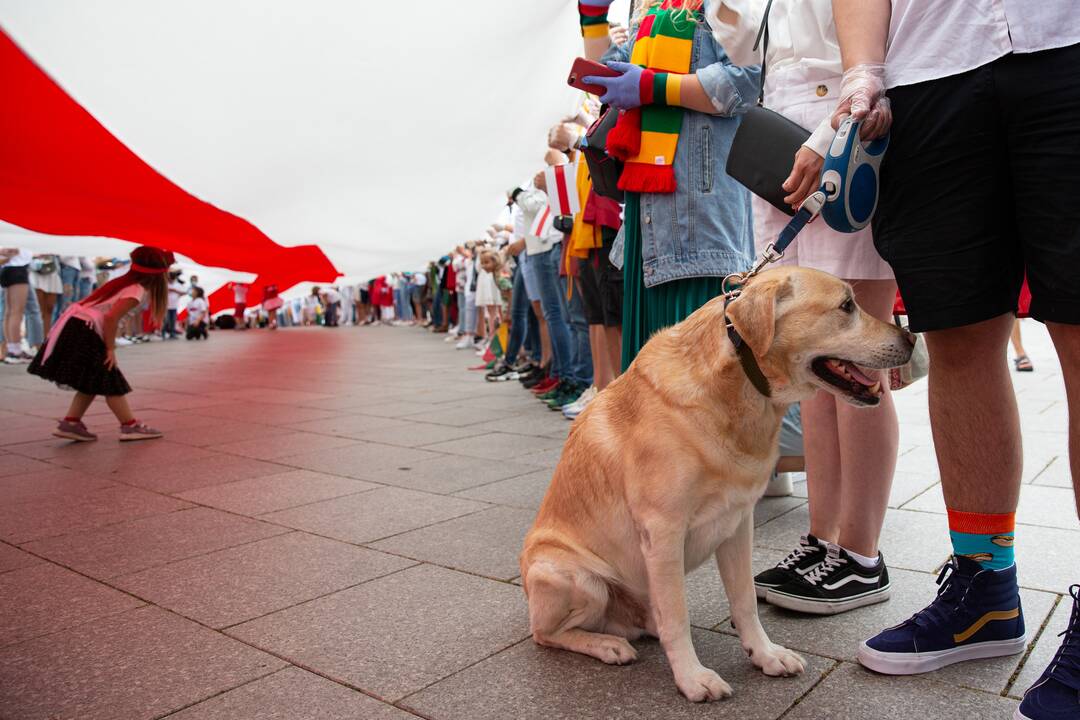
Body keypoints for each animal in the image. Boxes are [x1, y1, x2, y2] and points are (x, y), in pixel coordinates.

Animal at [518, 267, 915, 699]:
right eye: (846, 306)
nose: (912, 338)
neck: (740, 385)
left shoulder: (737, 524)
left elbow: (744, 603)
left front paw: (765, 654)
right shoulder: (663, 531)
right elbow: (678, 616)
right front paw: (692, 678)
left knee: (648, 616)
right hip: (574, 577)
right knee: (548, 633)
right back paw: (608, 645)